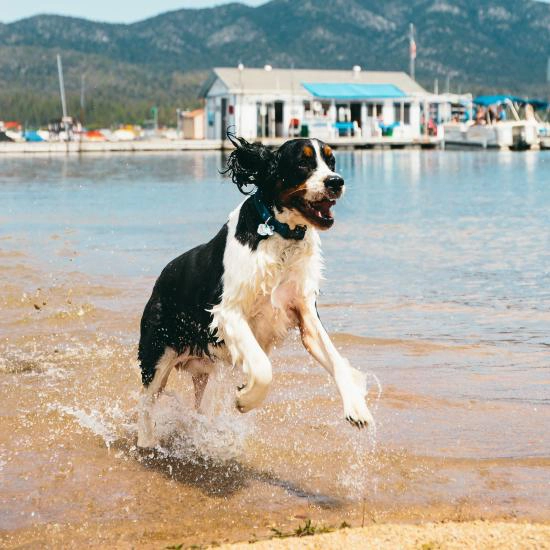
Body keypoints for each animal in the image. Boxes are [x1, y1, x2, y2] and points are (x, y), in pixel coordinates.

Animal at [137, 135, 376, 448]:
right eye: (303, 162)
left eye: (331, 160)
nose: (336, 182)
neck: (280, 234)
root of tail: (159, 281)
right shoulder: (228, 312)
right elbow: (263, 369)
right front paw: (245, 399)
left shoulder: (304, 310)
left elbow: (335, 358)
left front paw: (357, 408)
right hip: (158, 353)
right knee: (146, 401)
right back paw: (147, 442)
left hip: (204, 369)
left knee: (198, 406)